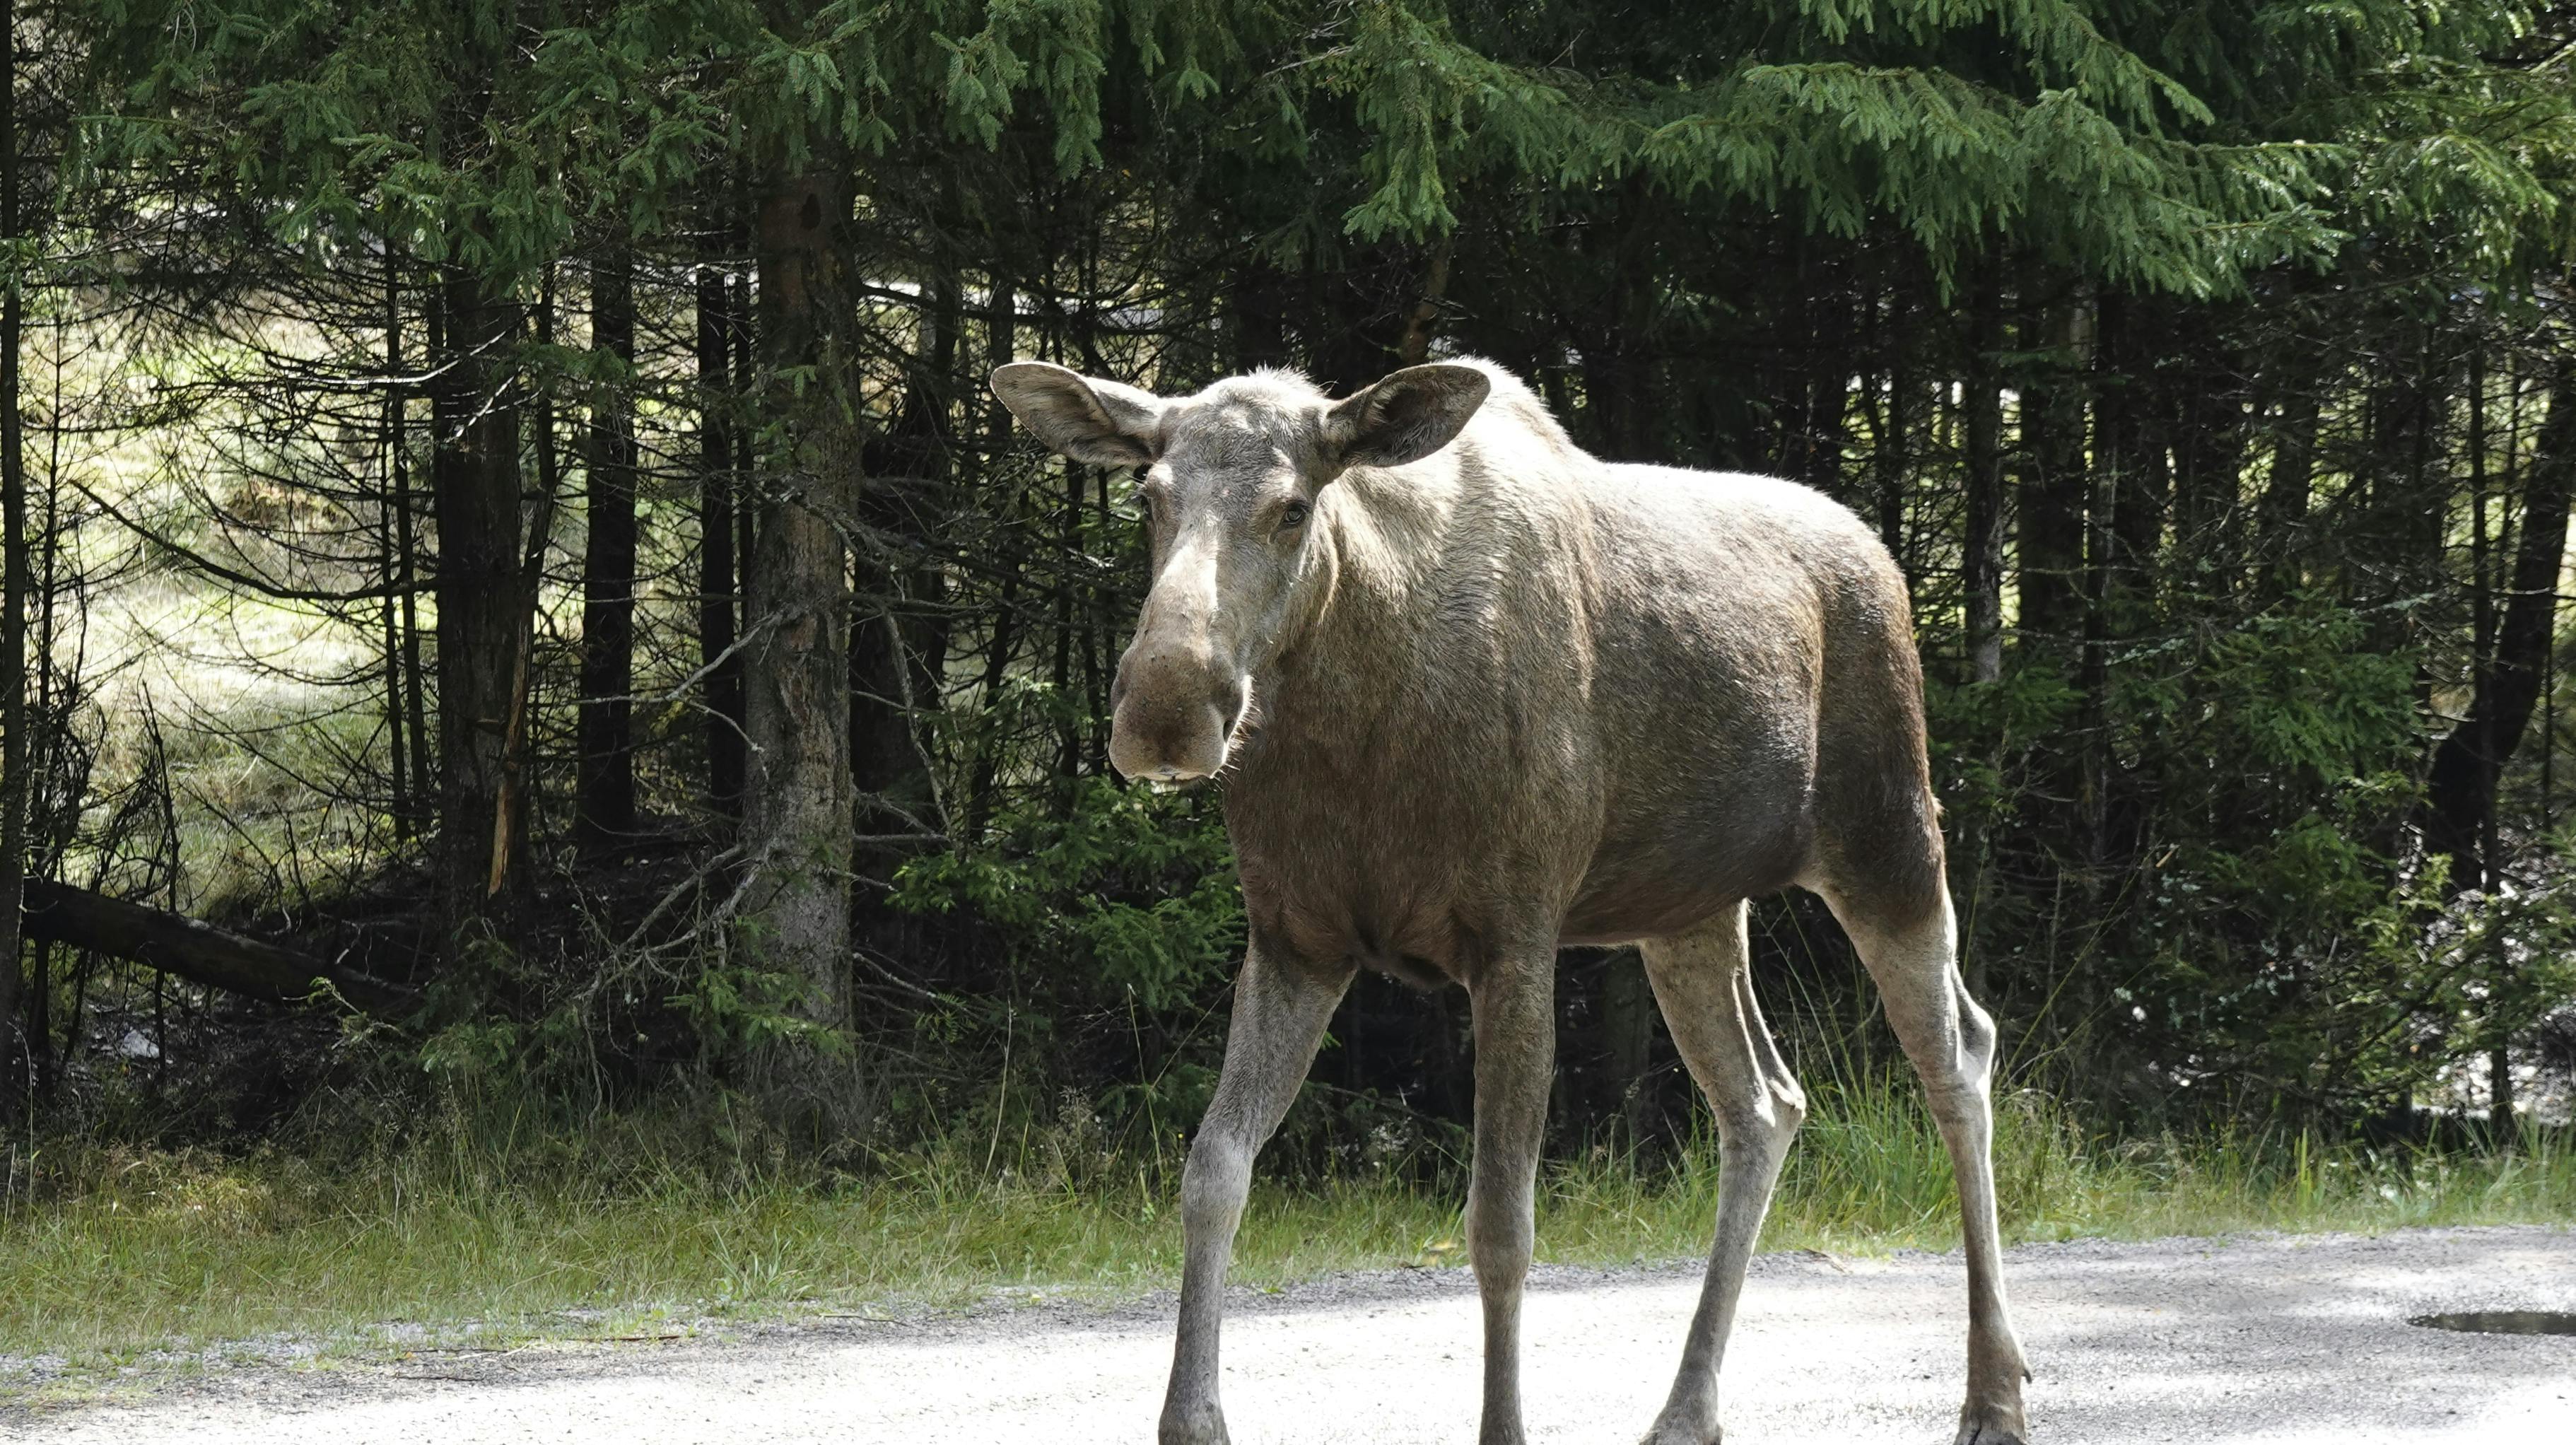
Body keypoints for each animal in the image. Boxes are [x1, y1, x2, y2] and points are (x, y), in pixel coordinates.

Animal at [994, 353, 2019, 1442]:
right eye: (1148, 496)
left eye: (1293, 507)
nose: (1164, 711)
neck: (1354, 725)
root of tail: (1880, 557)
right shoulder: (1292, 941)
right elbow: (1212, 1170)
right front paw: (1194, 1419)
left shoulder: (1514, 944)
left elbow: (1500, 1225)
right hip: (1690, 910)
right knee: (1764, 1100)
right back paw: (1686, 1409)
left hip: (1889, 840)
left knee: (1958, 1055)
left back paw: (1994, 1392)